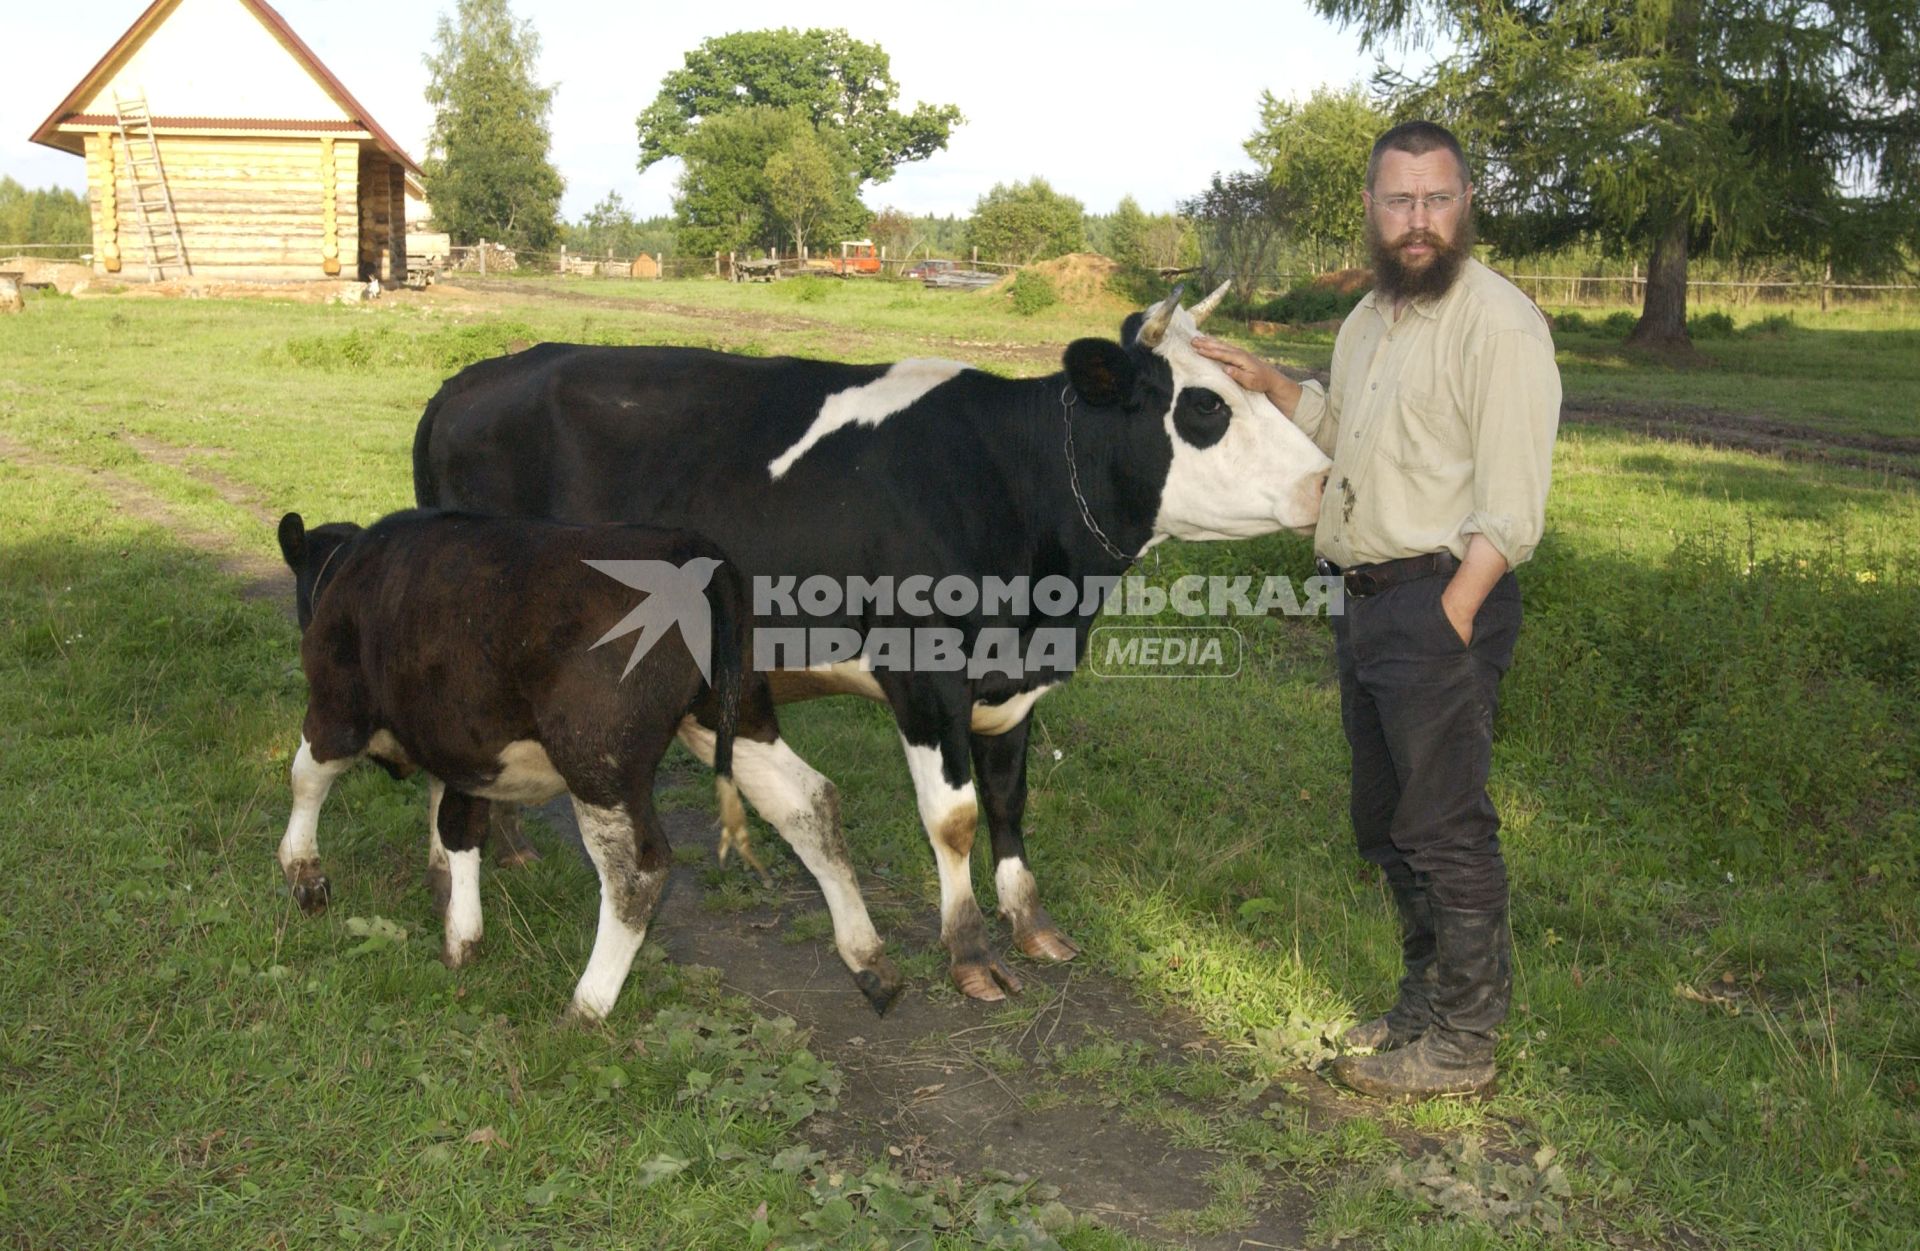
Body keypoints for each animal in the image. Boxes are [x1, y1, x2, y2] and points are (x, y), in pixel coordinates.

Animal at [276, 514, 898, 1020]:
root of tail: (688, 547)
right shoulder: (464, 745)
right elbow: (457, 826)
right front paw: (454, 915)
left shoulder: (338, 708)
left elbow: (307, 778)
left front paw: (305, 876)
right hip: (735, 712)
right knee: (808, 801)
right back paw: (871, 964)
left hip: (597, 759)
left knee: (635, 871)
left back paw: (588, 1004)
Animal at [410, 283, 1328, 997]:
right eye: (1205, 404)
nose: (1326, 479)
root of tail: (475, 376)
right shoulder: (922, 673)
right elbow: (954, 817)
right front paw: (969, 952)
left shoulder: (1012, 680)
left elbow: (1010, 799)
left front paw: (1031, 922)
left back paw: (506, 847)